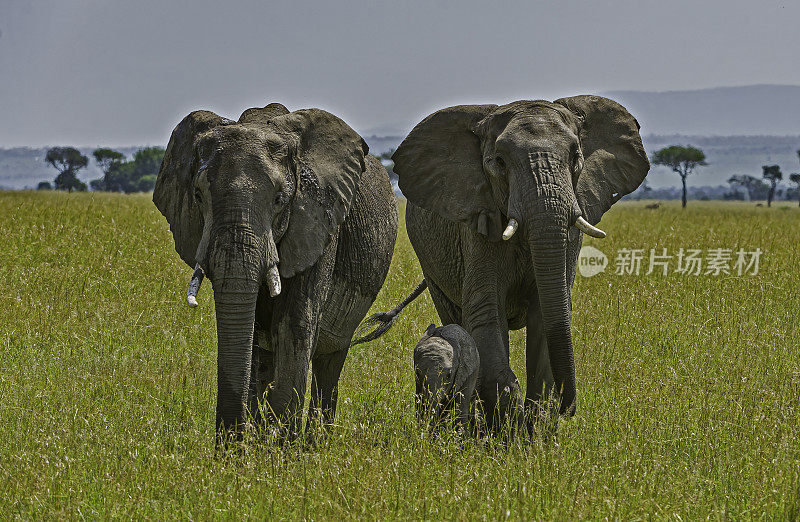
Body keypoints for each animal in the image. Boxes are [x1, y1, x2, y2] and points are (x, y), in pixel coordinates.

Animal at [152, 102, 396, 438]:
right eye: (198, 196)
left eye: (280, 200)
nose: (228, 444)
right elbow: (252, 333)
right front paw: (253, 446)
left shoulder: (318, 227)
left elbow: (294, 325)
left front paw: (281, 448)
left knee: (329, 362)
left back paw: (314, 442)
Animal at [382, 95, 648, 428]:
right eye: (499, 162)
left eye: (575, 157)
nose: (570, 408)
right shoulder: (479, 225)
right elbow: (486, 313)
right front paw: (510, 429)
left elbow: (548, 314)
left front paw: (539, 429)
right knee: (457, 318)